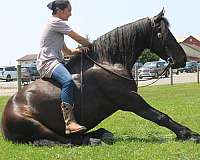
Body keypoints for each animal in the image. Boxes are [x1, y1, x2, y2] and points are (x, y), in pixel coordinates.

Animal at [1, 9, 200, 146]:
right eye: (161, 34)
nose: (182, 59)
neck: (108, 63)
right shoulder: (130, 100)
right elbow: (160, 116)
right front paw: (189, 134)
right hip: (35, 124)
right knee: (65, 140)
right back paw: (94, 139)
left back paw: (101, 134)